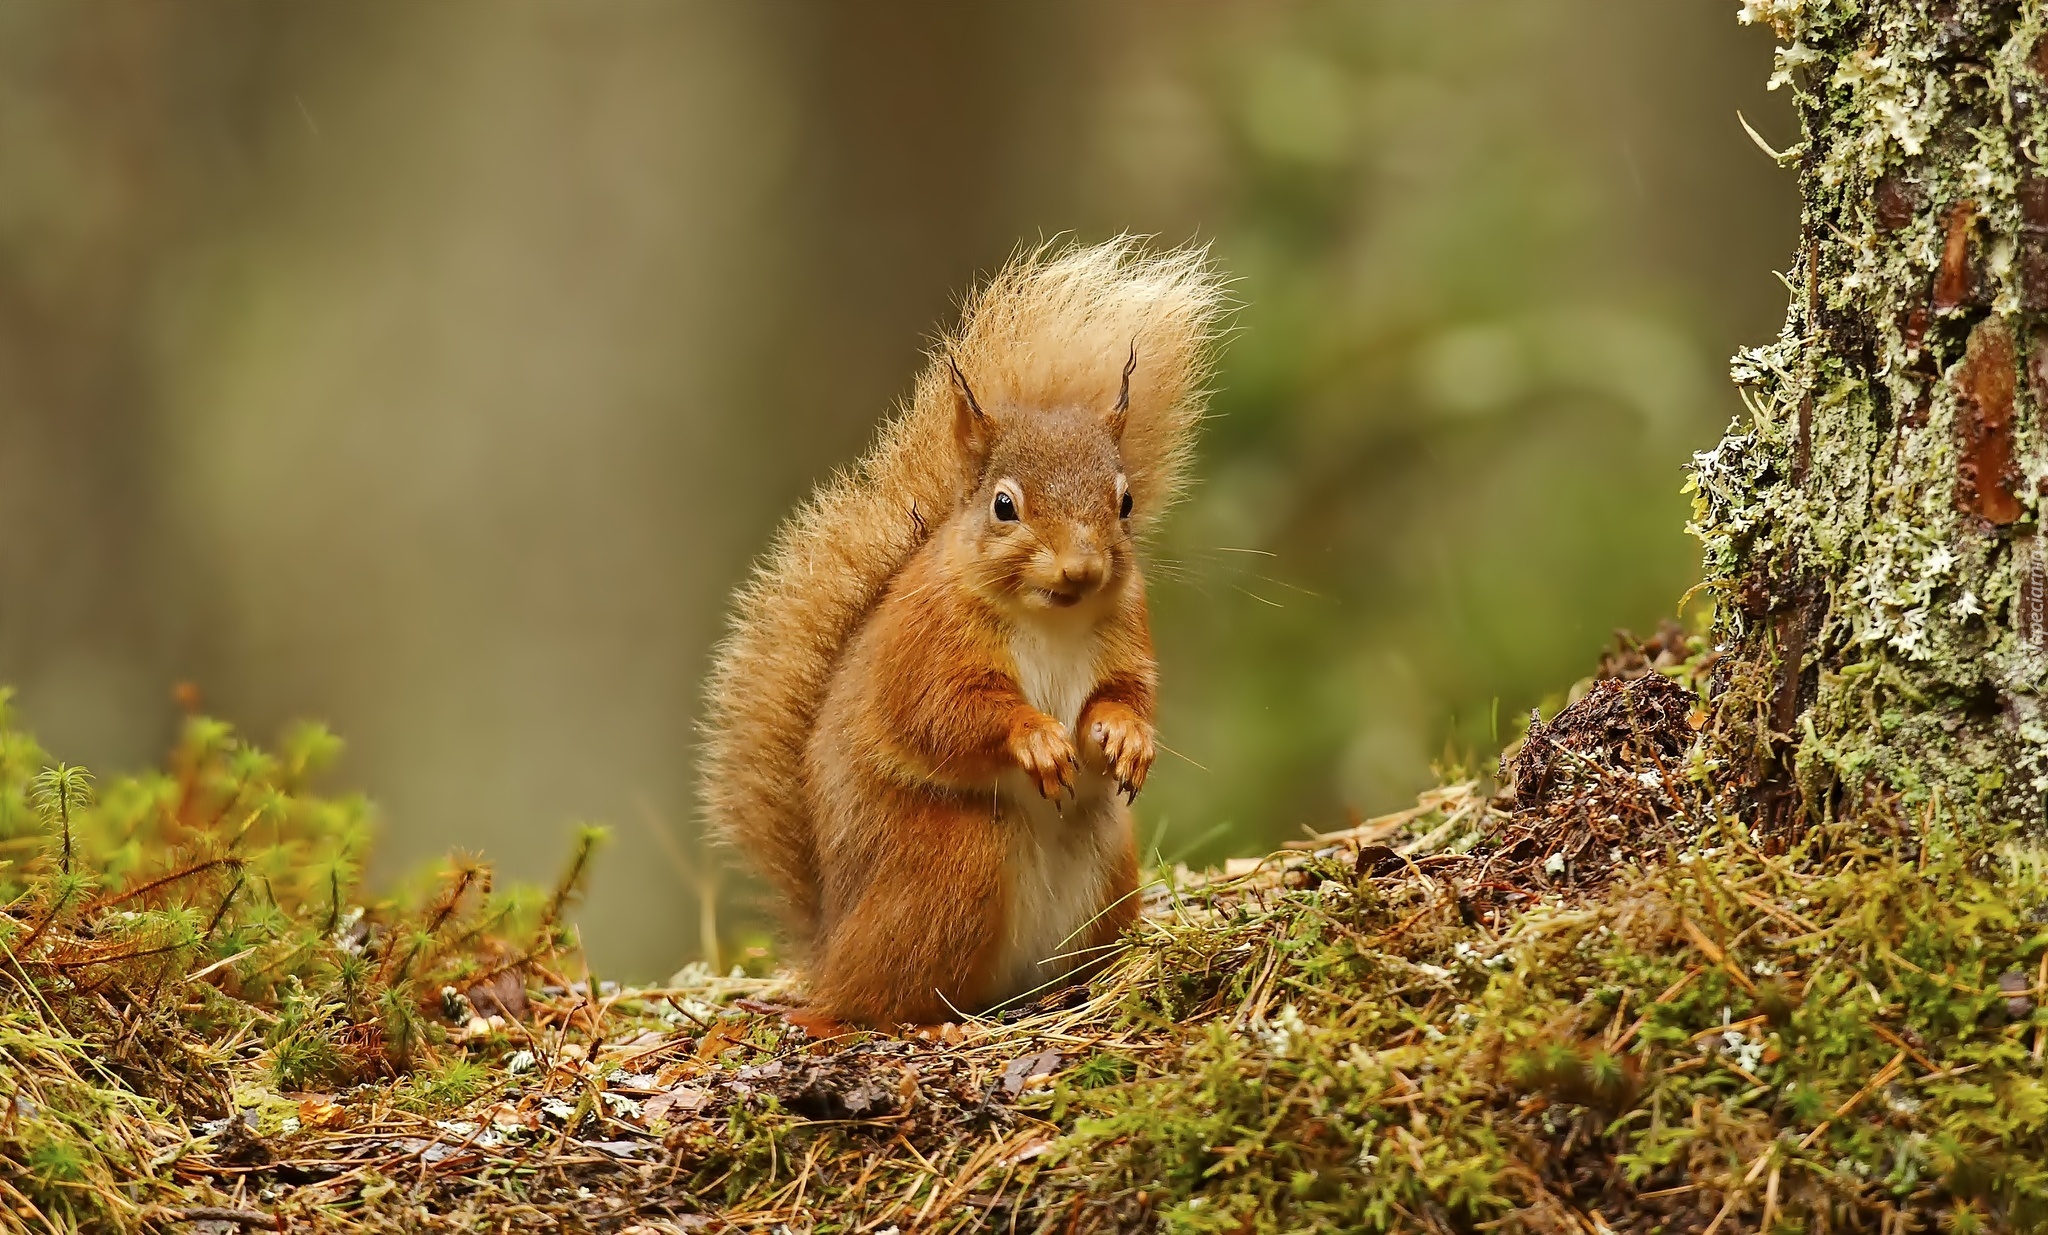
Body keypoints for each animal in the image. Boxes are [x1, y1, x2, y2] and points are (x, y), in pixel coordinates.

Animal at [704, 239, 1220, 1024]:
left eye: (1125, 501)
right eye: (1004, 506)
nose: (1082, 567)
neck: (1050, 618)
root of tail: (831, 945)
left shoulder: (1126, 633)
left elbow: (1128, 693)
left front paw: (1126, 738)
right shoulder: (926, 642)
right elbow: (942, 713)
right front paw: (1036, 739)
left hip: (1107, 867)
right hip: (954, 864)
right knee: (873, 1002)